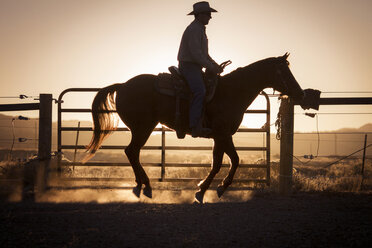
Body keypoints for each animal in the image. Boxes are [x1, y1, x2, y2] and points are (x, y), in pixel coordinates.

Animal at [85, 52, 306, 203]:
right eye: (284, 71)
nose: (300, 93)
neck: (232, 91)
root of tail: (122, 85)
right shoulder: (223, 134)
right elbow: (226, 162)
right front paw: (208, 190)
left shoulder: (221, 136)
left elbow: (226, 161)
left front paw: (211, 189)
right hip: (143, 128)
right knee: (131, 151)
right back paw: (145, 186)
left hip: (142, 129)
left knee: (132, 153)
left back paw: (140, 185)